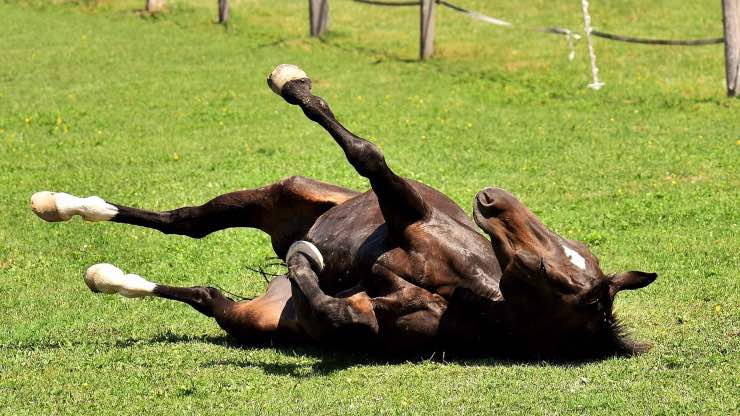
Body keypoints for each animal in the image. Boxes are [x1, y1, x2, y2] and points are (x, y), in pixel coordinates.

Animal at [30, 64, 657, 359]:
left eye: (542, 270)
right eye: (566, 248)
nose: (492, 198)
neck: (464, 288)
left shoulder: (371, 320)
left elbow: (338, 313)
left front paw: (311, 265)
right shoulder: (407, 210)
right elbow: (369, 154)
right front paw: (295, 84)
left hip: (251, 317)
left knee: (205, 287)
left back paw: (103, 272)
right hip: (283, 192)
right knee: (187, 221)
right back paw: (61, 205)